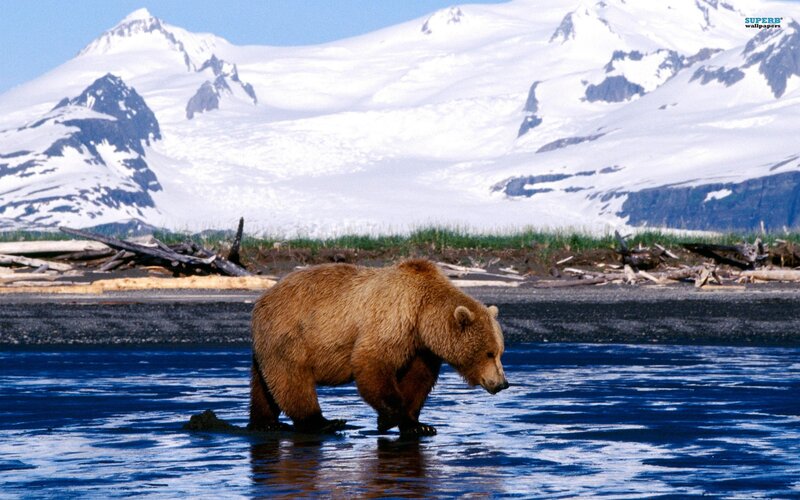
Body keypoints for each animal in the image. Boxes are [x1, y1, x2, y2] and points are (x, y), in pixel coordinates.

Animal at [249, 258, 508, 436]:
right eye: (489, 353)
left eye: (500, 352)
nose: (503, 383)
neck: (422, 315)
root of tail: (261, 300)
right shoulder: (393, 320)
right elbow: (372, 361)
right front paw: (388, 418)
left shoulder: (421, 348)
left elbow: (418, 381)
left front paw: (418, 425)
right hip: (291, 334)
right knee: (292, 379)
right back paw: (323, 422)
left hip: (269, 343)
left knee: (265, 384)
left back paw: (266, 423)